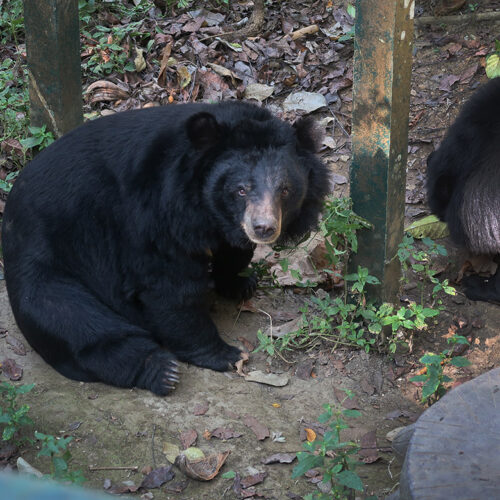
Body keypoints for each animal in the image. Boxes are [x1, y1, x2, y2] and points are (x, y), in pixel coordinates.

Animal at [2, 100, 332, 394]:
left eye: (285, 190)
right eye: (240, 190)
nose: (263, 228)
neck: (199, 203)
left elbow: (232, 253)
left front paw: (241, 283)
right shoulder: (152, 212)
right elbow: (170, 287)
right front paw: (226, 354)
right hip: (45, 260)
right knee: (68, 316)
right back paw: (160, 370)